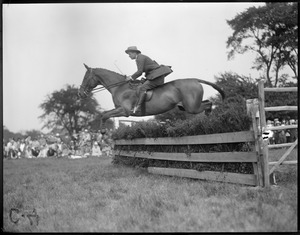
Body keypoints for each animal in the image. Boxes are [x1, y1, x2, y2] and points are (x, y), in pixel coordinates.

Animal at [78, 62, 224, 132]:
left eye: (85, 78)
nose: (80, 93)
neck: (119, 87)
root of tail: (195, 80)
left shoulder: (125, 111)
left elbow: (105, 115)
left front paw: (103, 132)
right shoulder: (120, 110)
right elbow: (104, 114)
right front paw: (102, 130)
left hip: (192, 107)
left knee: (208, 104)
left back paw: (209, 120)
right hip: (187, 106)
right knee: (207, 103)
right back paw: (208, 120)